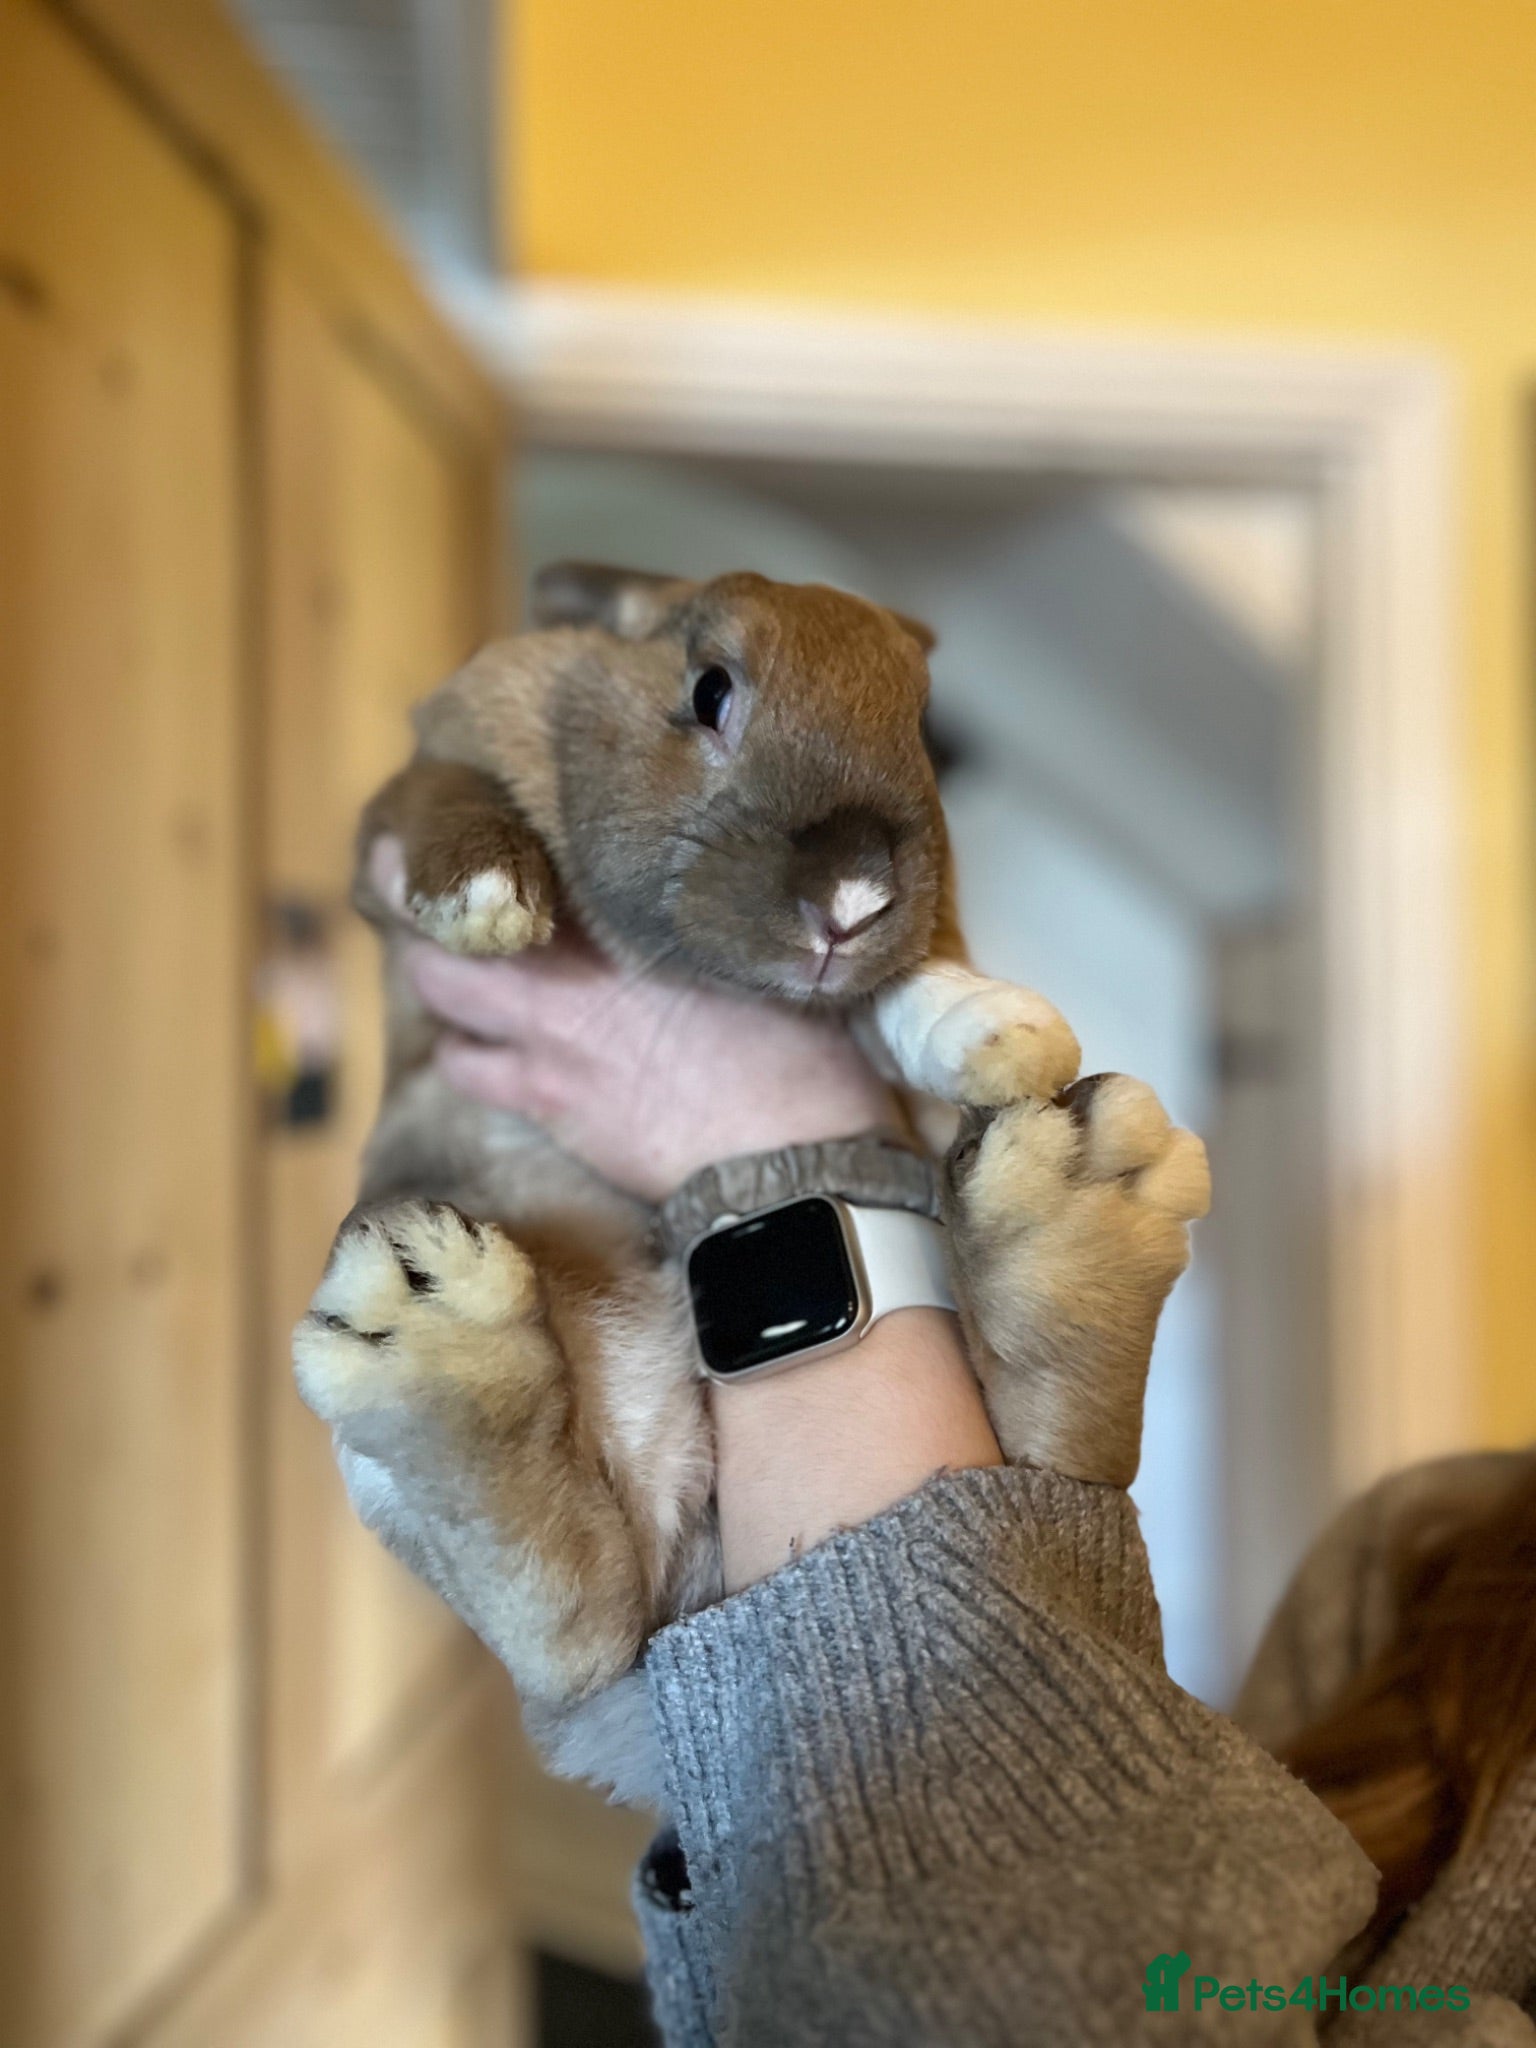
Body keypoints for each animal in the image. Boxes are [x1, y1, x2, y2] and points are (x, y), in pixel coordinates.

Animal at [292, 563, 1211, 1807]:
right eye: (710, 690)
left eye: (916, 722)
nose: (854, 896)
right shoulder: (410, 797)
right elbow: (438, 799)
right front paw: (488, 897)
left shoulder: (908, 941)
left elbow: (908, 980)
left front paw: (1000, 1032)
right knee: (580, 1619)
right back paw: (436, 1340)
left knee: (1062, 1475)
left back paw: (1081, 1214)